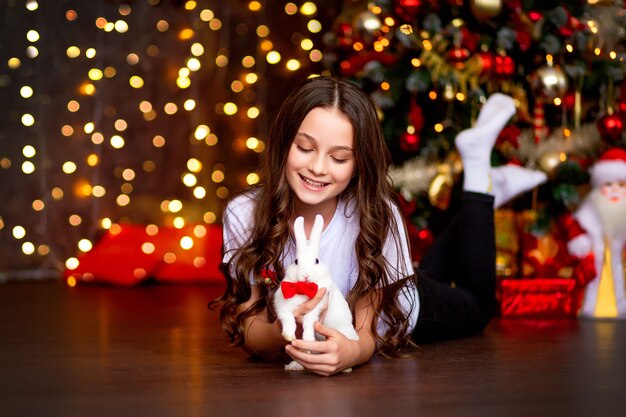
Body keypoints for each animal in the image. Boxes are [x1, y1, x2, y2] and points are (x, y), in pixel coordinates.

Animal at [272, 214, 358, 370]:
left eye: (316, 261)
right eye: (296, 261)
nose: (306, 275)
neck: (302, 289)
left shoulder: (317, 307)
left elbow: (308, 320)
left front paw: (308, 341)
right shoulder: (282, 305)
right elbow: (287, 318)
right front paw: (289, 336)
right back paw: (295, 366)